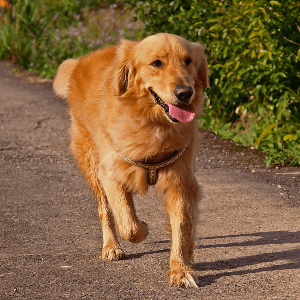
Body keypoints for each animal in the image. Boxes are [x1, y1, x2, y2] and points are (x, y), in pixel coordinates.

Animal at [53, 33, 209, 288]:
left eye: (188, 61)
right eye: (157, 63)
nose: (185, 93)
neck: (152, 123)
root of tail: (80, 62)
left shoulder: (181, 182)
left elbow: (182, 228)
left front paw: (180, 270)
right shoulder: (110, 174)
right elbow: (129, 225)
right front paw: (143, 227)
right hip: (92, 166)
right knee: (106, 210)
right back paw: (111, 247)